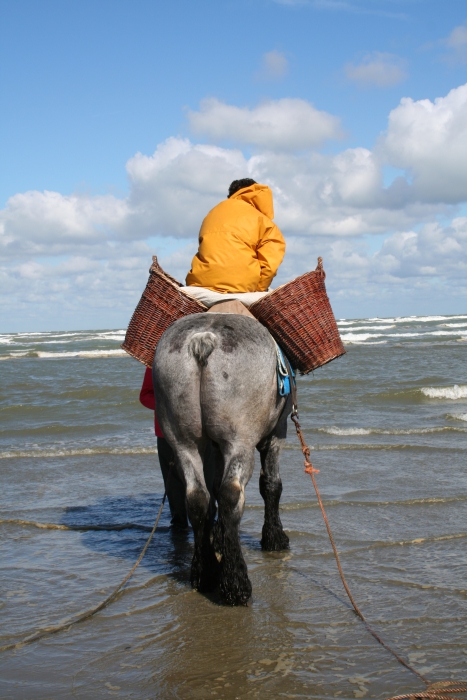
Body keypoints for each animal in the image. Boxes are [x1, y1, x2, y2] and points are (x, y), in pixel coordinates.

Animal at [153, 312, 291, 605]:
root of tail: (205, 339)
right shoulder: (278, 432)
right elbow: (271, 485)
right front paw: (274, 538)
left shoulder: (214, 448)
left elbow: (213, 488)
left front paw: (217, 538)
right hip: (240, 442)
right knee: (231, 494)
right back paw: (236, 583)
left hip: (184, 442)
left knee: (197, 497)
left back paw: (204, 574)